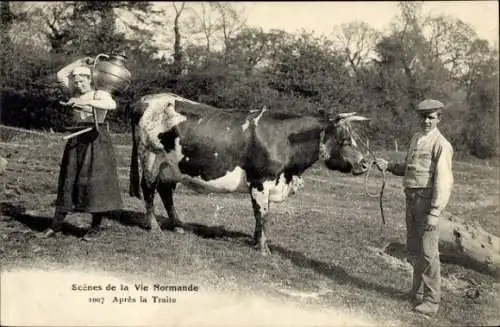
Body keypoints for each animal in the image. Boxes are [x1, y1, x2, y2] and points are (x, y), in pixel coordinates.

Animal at [129, 93, 372, 256]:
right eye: (344, 138)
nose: (365, 163)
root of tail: (144, 100)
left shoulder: (270, 182)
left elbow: (262, 214)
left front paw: (257, 242)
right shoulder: (260, 180)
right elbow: (262, 214)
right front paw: (263, 249)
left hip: (170, 166)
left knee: (165, 191)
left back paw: (179, 226)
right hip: (150, 156)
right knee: (148, 189)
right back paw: (154, 226)